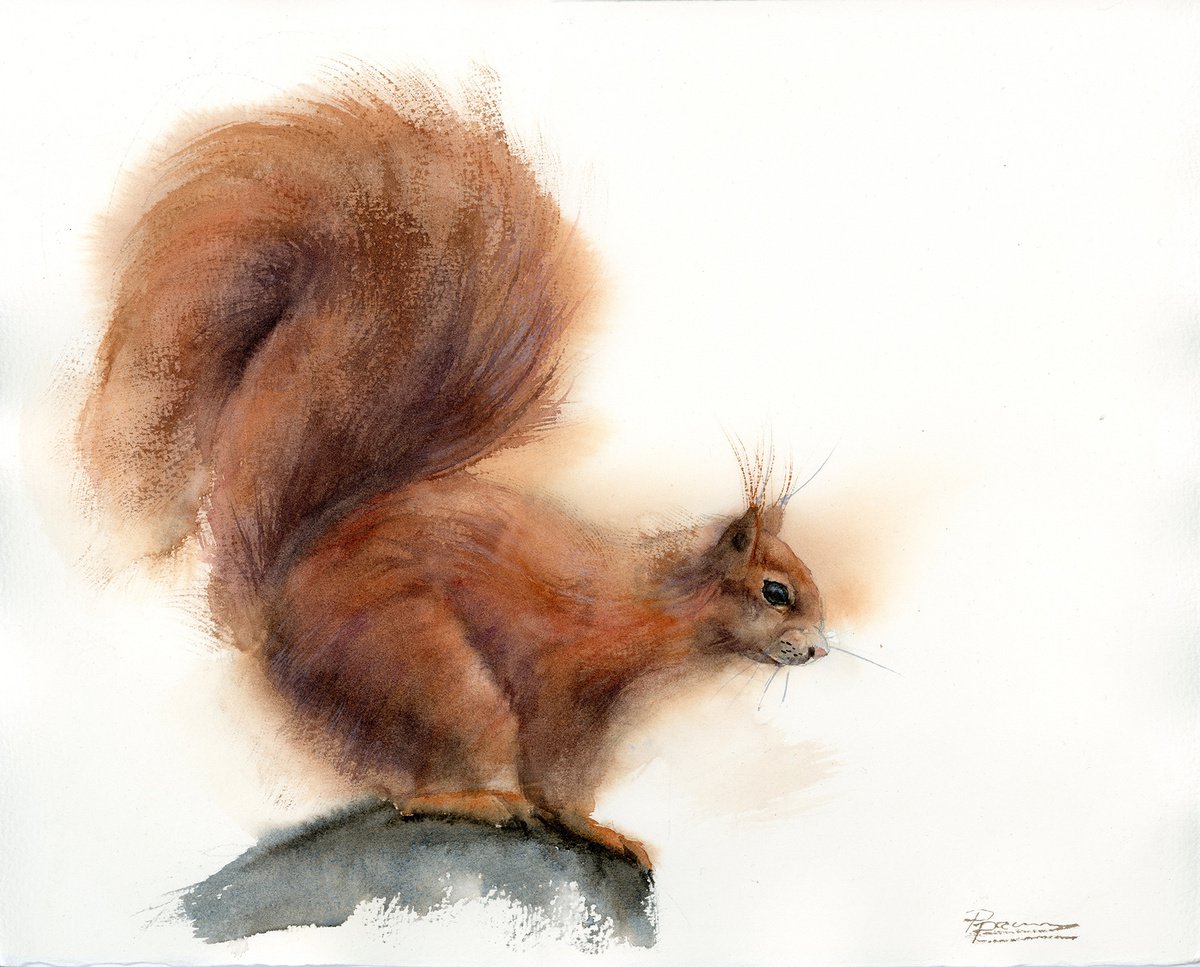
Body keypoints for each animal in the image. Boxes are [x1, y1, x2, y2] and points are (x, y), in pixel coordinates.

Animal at [79, 73, 830, 869]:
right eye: (776, 592)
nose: (819, 647)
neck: (655, 602)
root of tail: (278, 612)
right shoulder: (567, 683)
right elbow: (558, 776)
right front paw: (593, 826)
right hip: (428, 669)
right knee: (412, 789)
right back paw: (472, 799)